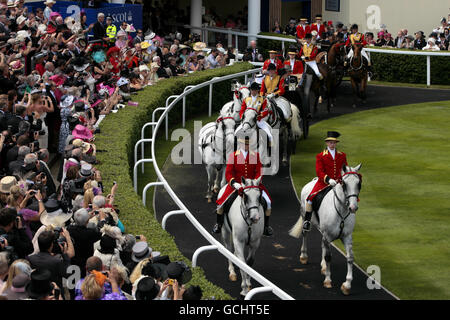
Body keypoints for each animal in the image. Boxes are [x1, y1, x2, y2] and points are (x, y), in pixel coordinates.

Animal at [290, 165, 364, 296]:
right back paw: (304, 256)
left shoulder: (346, 236)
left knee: (322, 243)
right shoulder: (328, 235)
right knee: (305, 234)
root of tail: (313, 181)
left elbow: (350, 257)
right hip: (305, 216)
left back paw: (324, 266)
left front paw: (347, 285)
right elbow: (329, 257)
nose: (353, 207)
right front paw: (328, 280)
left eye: (358, 184)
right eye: (344, 184)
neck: (341, 210)